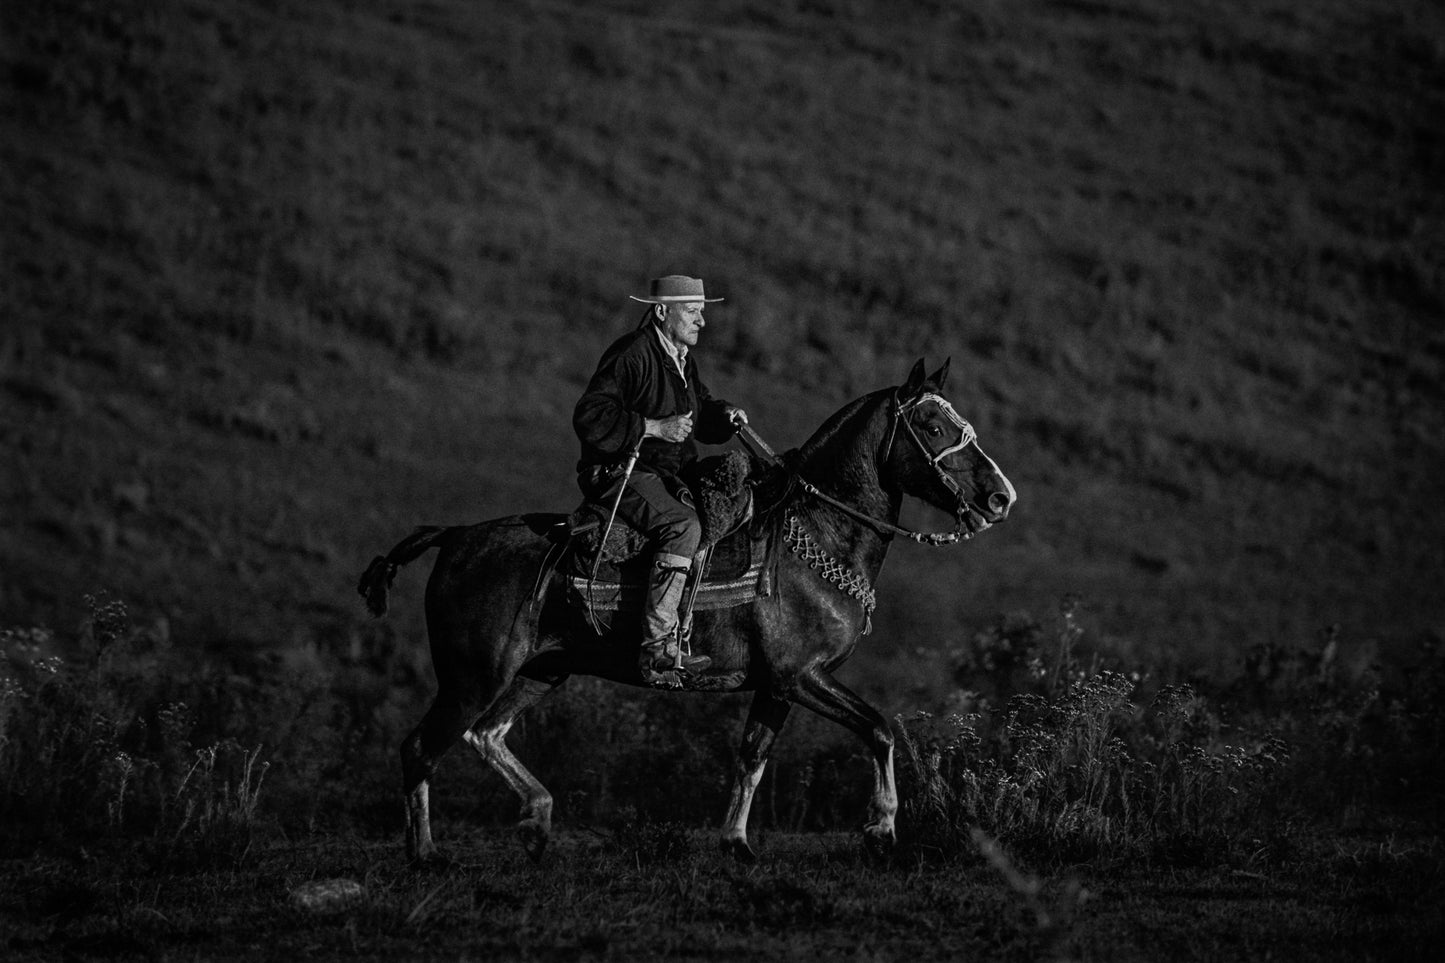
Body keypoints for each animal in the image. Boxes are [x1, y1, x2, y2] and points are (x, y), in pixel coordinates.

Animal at [358, 355, 1017, 856]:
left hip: (539, 671)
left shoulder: (777, 685)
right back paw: (426, 853)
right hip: (471, 676)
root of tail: (454, 537)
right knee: (423, 747)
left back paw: (538, 819)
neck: (816, 532)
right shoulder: (802, 676)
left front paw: (736, 843)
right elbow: (880, 728)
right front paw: (880, 825)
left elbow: (752, 756)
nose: (1000, 496)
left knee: (486, 734)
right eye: (932, 426)